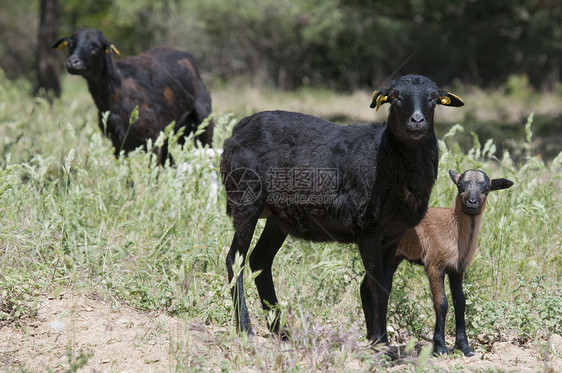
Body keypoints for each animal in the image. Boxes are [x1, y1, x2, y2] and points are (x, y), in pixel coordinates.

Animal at [52, 28, 212, 162]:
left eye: (96, 46)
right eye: (70, 45)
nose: (73, 62)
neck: (117, 94)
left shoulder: (152, 140)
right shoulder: (118, 144)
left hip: (204, 121)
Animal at [221, 75, 462, 346]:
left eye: (434, 99)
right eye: (395, 98)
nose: (417, 120)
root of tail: (237, 130)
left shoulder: (393, 234)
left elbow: (383, 285)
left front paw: (375, 337)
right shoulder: (368, 230)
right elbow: (377, 286)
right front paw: (381, 342)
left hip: (277, 216)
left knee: (260, 260)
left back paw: (280, 330)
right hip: (245, 199)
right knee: (235, 260)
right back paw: (245, 327)